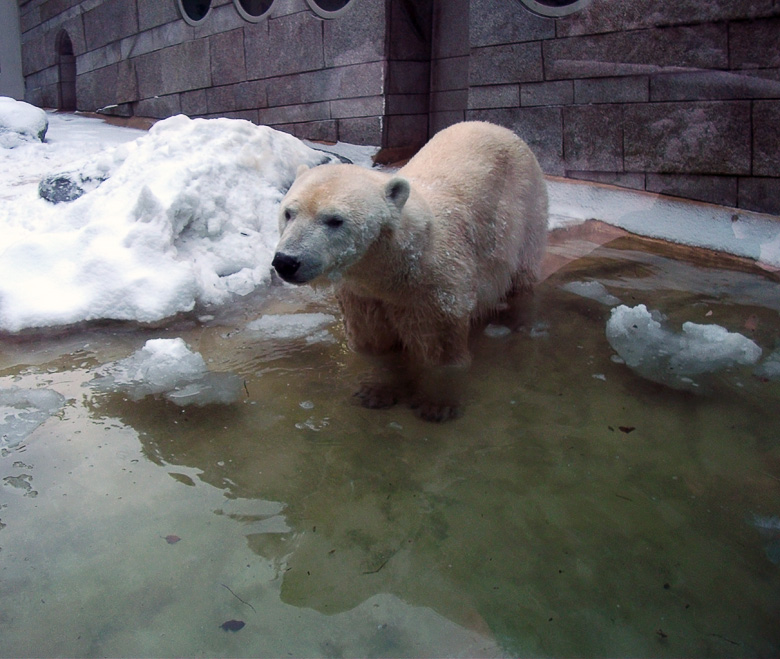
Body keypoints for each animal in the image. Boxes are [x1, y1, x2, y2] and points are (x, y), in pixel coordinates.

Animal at [274, 122, 548, 422]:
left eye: (335, 220)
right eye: (289, 212)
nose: (286, 261)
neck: (394, 268)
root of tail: (497, 127)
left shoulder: (436, 288)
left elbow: (441, 354)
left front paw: (437, 405)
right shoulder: (364, 295)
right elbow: (375, 344)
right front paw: (375, 392)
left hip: (526, 212)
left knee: (522, 280)